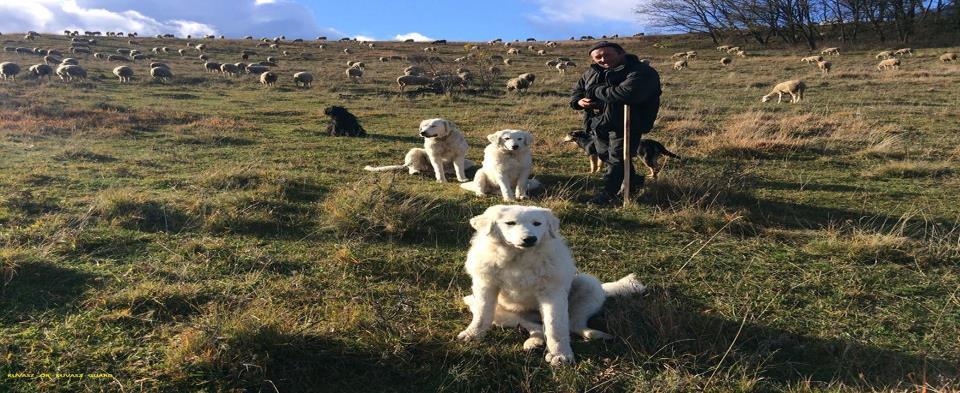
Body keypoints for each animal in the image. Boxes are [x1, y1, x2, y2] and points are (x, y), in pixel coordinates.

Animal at [456, 205, 644, 364]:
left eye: (537, 224)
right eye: (510, 223)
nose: (530, 239)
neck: (519, 258)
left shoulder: (552, 292)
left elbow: (556, 326)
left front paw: (560, 354)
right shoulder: (485, 286)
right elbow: (482, 315)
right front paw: (473, 334)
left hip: (588, 284)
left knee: (572, 324)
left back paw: (595, 334)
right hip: (494, 310)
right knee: (536, 327)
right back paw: (533, 342)